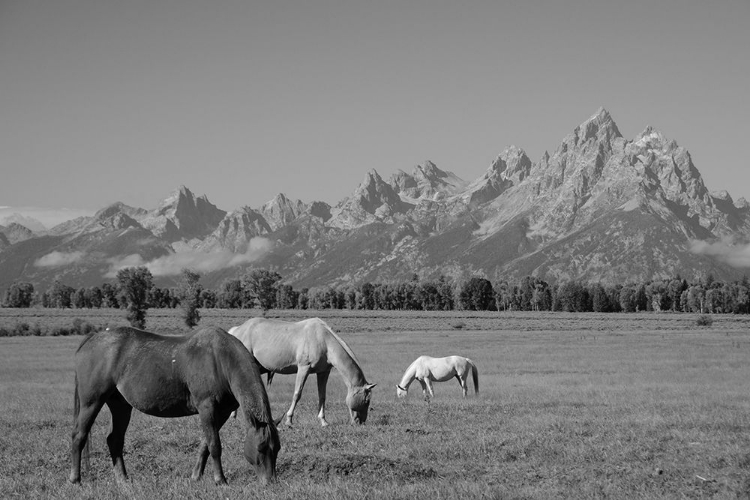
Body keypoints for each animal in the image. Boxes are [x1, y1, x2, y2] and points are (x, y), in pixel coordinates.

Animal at [70, 324, 282, 484]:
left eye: (277, 448)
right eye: (261, 448)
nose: (270, 481)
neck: (220, 359)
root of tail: (92, 338)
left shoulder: (221, 412)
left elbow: (205, 443)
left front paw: (196, 476)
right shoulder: (207, 408)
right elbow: (214, 445)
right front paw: (220, 480)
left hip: (120, 406)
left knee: (114, 440)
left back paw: (122, 479)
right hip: (92, 402)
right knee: (79, 436)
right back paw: (76, 479)